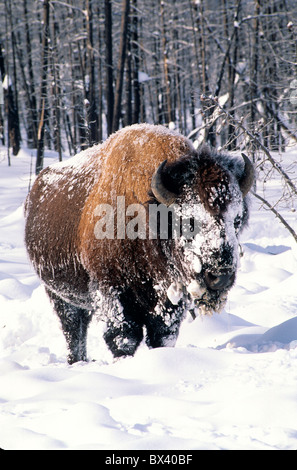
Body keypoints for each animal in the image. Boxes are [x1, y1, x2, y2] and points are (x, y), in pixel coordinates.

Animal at [24, 122, 253, 364]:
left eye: (237, 220)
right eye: (189, 220)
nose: (221, 276)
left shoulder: (167, 302)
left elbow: (162, 335)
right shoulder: (112, 292)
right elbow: (123, 337)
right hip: (57, 294)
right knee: (72, 328)